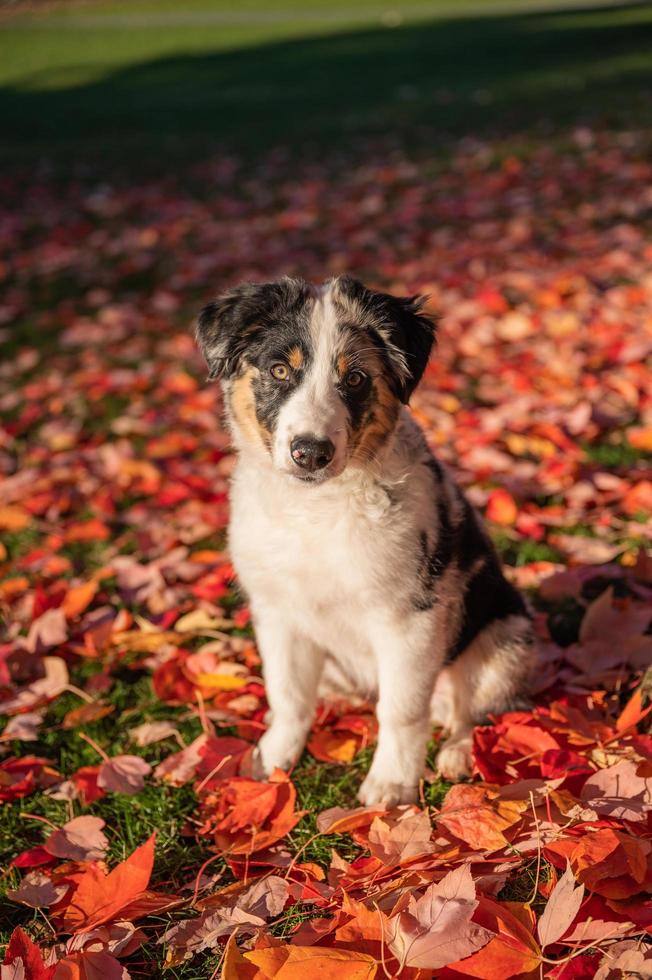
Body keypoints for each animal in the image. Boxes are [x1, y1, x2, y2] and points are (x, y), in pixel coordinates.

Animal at [196, 274, 532, 804]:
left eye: (354, 379)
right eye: (278, 370)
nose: (310, 453)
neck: (315, 511)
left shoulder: (410, 618)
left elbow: (401, 711)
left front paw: (391, 785)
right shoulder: (277, 613)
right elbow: (287, 694)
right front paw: (271, 760)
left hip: (505, 641)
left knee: (470, 711)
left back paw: (459, 755)